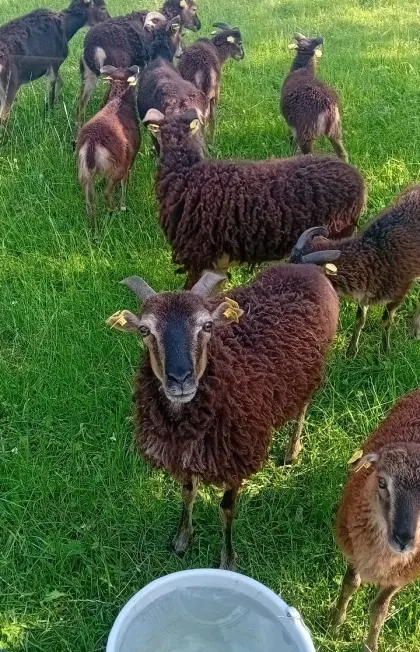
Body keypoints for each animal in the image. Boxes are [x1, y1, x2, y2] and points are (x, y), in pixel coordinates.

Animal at [76, 65, 141, 236]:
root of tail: (92, 144)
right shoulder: (130, 157)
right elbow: (126, 183)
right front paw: (124, 205)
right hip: (117, 164)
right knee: (107, 191)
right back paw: (114, 209)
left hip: (83, 171)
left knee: (89, 201)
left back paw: (94, 231)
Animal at [106, 263, 339, 570]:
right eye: (145, 330)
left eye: (207, 326)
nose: (180, 380)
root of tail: (304, 266)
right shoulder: (186, 454)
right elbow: (187, 492)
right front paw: (182, 538)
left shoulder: (237, 454)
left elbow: (226, 509)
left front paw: (228, 560)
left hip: (310, 371)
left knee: (301, 409)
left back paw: (291, 452)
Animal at [280, 33, 348, 161]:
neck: (303, 69)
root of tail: (328, 108)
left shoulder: (294, 125)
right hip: (335, 130)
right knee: (342, 153)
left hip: (307, 132)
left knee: (308, 153)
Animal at [290, 185, 420, 356]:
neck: (377, 255)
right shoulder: (365, 294)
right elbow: (359, 320)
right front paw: (351, 352)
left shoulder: (400, 291)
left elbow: (385, 321)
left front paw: (384, 351)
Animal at [332, 389, 420, 652]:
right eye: (382, 482)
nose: (403, 539)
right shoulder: (354, 549)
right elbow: (349, 584)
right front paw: (335, 624)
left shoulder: (400, 577)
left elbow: (379, 610)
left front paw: (371, 644)